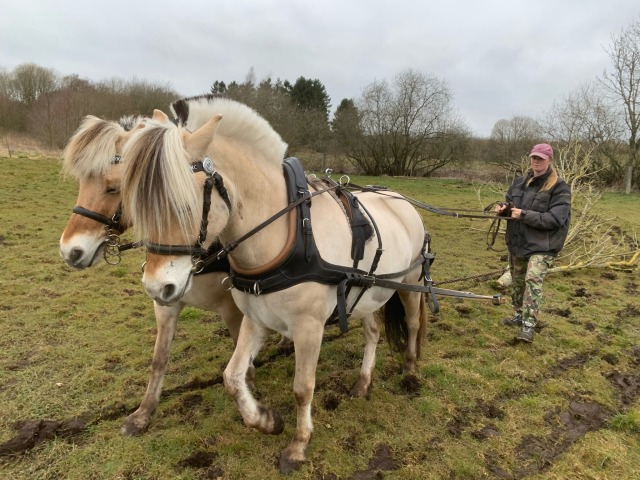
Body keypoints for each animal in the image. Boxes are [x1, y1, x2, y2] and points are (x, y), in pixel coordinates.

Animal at [59, 112, 245, 436]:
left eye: (114, 187)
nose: (70, 251)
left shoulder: (231, 307)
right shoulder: (165, 300)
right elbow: (159, 359)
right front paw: (143, 413)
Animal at [120, 97, 430, 472]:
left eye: (184, 204)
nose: (156, 289)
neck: (286, 233)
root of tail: (401, 200)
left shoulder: (309, 328)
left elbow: (303, 387)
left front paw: (298, 445)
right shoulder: (256, 319)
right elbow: (232, 377)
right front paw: (266, 420)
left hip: (410, 284)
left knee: (412, 324)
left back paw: (410, 370)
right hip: (368, 292)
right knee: (373, 332)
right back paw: (362, 383)